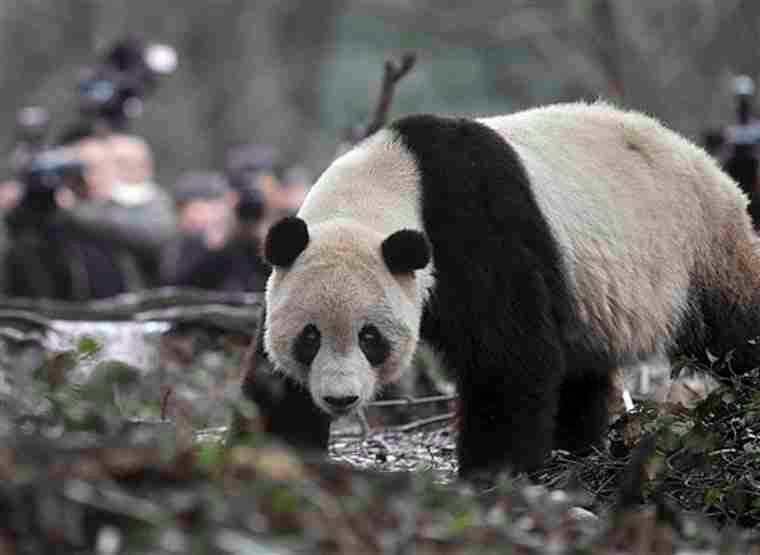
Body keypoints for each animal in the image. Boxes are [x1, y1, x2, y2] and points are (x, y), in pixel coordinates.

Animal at [258, 101, 760, 478]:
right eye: (309, 337)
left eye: (369, 337)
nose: (339, 399)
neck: (386, 185)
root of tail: (703, 159)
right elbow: (274, 374)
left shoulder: (477, 228)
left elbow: (508, 355)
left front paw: (493, 472)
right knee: (582, 371)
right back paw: (576, 446)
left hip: (702, 245)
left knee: (734, 327)